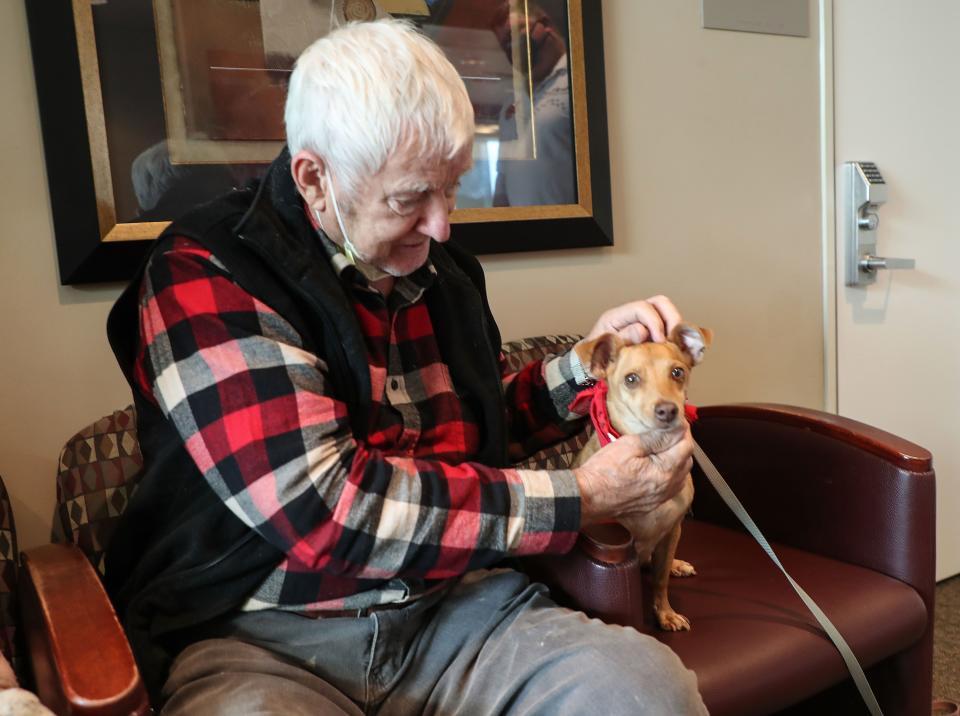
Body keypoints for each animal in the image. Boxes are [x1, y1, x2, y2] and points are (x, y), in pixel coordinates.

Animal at [568, 324, 712, 632]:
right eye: (631, 379)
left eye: (677, 372)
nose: (668, 410)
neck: (655, 454)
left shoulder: (672, 531)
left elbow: (660, 581)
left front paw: (665, 613)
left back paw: (676, 565)